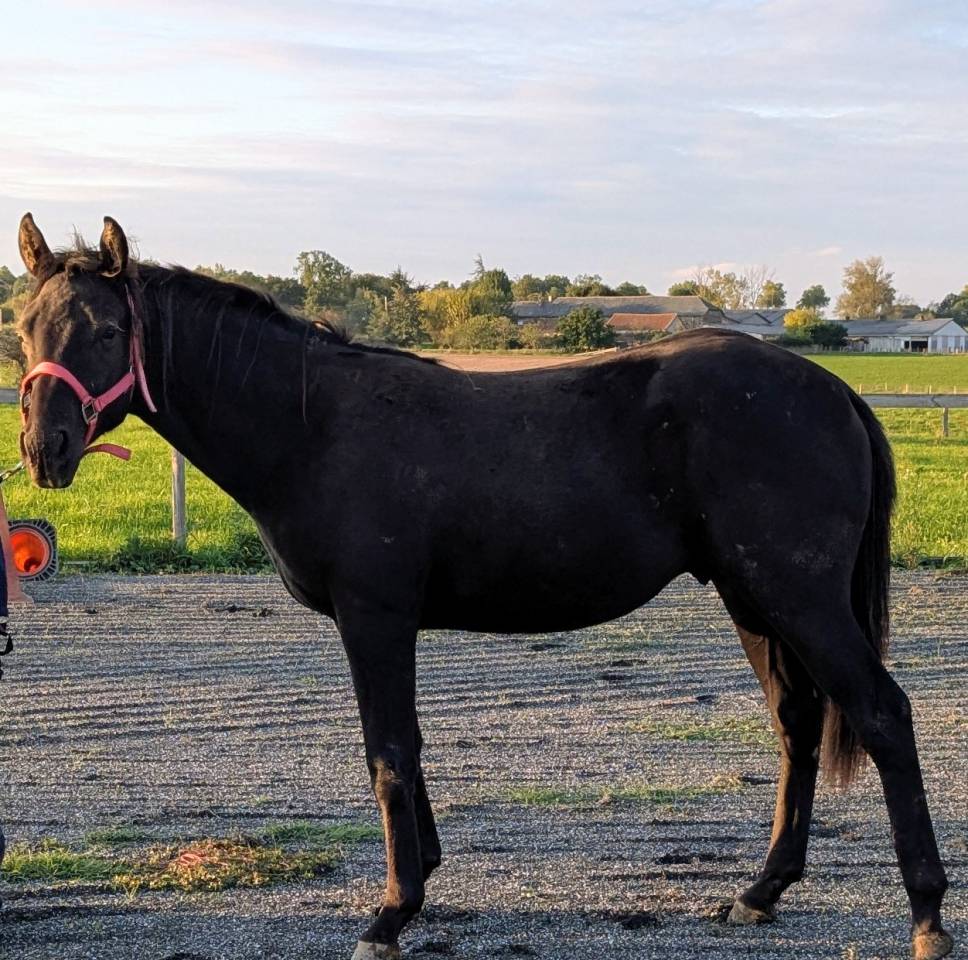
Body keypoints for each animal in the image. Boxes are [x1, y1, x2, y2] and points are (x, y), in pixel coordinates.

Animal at [13, 214, 952, 960]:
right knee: (797, 722)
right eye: (24, 326)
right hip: (752, 596)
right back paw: (761, 892)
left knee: (881, 714)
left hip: (799, 596)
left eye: (105, 329)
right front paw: (421, 878)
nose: (42, 448)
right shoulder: (389, 622)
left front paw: (390, 915)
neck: (312, 426)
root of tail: (834, 390)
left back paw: (927, 915)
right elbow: (409, 750)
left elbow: (389, 754)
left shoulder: (375, 616)